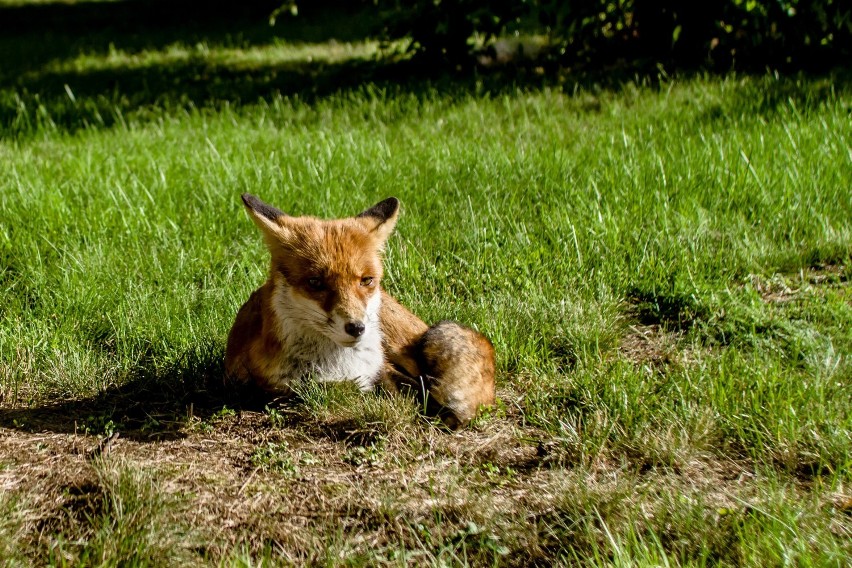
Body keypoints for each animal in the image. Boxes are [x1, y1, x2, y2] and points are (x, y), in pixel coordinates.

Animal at [223, 194, 496, 426]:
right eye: (315, 282)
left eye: (366, 280)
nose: (357, 328)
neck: (339, 364)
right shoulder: (277, 389)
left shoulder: (382, 369)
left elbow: (410, 390)